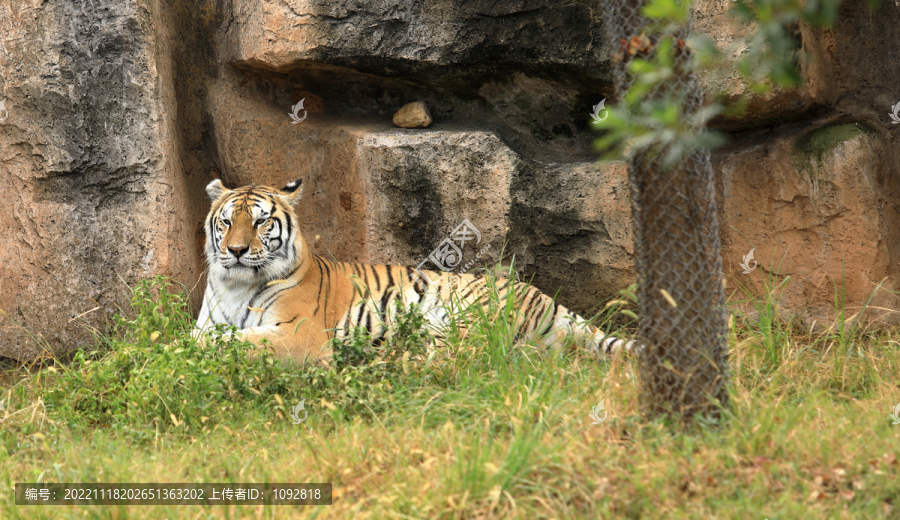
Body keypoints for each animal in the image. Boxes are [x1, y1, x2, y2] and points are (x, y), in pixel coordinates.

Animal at [193, 177, 636, 364]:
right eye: (227, 221)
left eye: (262, 222)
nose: (235, 251)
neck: (235, 284)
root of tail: (547, 299)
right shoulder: (208, 321)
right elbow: (207, 337)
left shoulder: (298, 334)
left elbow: (235, 342)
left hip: (464, 314)